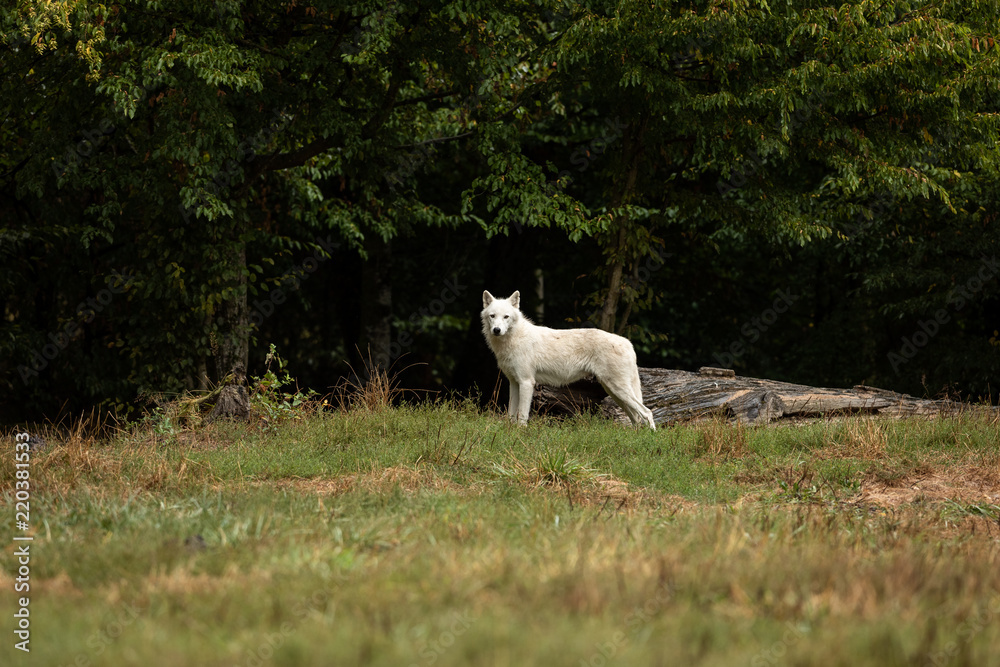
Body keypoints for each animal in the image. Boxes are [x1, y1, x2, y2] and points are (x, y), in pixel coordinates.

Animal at [481, 290, 656, 429]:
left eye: (506, 317)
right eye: (492, 316)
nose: (497, 330)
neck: (513, 339)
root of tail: (627, 342)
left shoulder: (526, 382)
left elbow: (522, 416)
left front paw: (520, 433)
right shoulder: (514, 383)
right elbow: (511, 414)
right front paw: (510, 432)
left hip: (619, 390)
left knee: (647, 413)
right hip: (614, 393)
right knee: (636, 418)